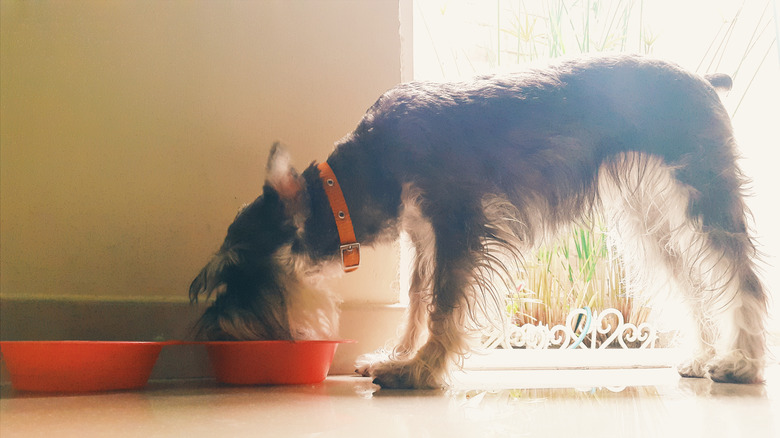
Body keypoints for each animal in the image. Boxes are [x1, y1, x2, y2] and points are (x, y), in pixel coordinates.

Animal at [190, 55, 768, 390]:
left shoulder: (458, 224)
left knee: (742, 279)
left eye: (237, 270)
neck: (355, 182)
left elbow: (444, 305)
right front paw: (396, 355)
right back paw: (701, 354)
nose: (216, 332)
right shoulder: (425, 235)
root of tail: (704, 79)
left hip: (703, 200)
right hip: (654, 220)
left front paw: (419, 370)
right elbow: (418, 301)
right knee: (689, 284)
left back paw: (740, 362)